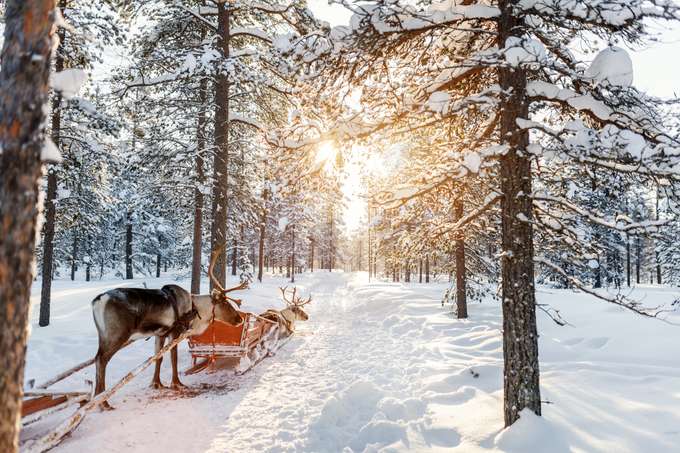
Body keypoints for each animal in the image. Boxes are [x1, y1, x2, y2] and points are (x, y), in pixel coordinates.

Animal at [91, 244, 245, 408]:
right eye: (225, 303)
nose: (240, 319)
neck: (195, 309)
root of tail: (97, 300)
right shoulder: (175, 332)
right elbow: (173, 358)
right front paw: (177, 383)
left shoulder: (160, 334)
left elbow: (158, 358)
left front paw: (156, 383)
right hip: (117, 335)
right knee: (101, 360)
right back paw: (103, 402)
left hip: (104, 336)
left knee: (97, 358)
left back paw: (96, 398)